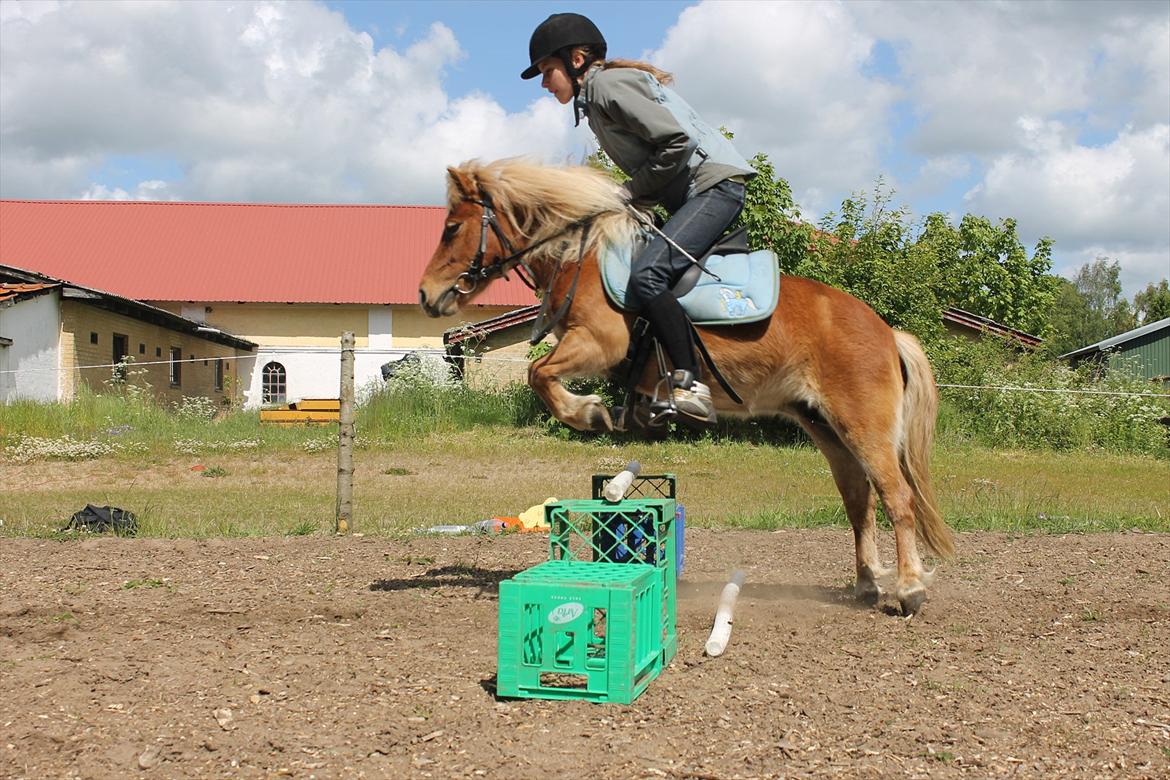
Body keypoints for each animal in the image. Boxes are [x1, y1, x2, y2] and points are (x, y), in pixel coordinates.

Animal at [418, 159, 950, 612]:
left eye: (452, 228)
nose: (426, 295)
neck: (582, 257)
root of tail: (887, 331)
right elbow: (540, 374)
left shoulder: (599, 342)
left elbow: (539, 374)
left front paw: (590, 412)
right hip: (825, 426)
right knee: (859, 498)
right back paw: (866, 584)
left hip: (863, 424)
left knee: (896, 497)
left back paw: (909, 589)